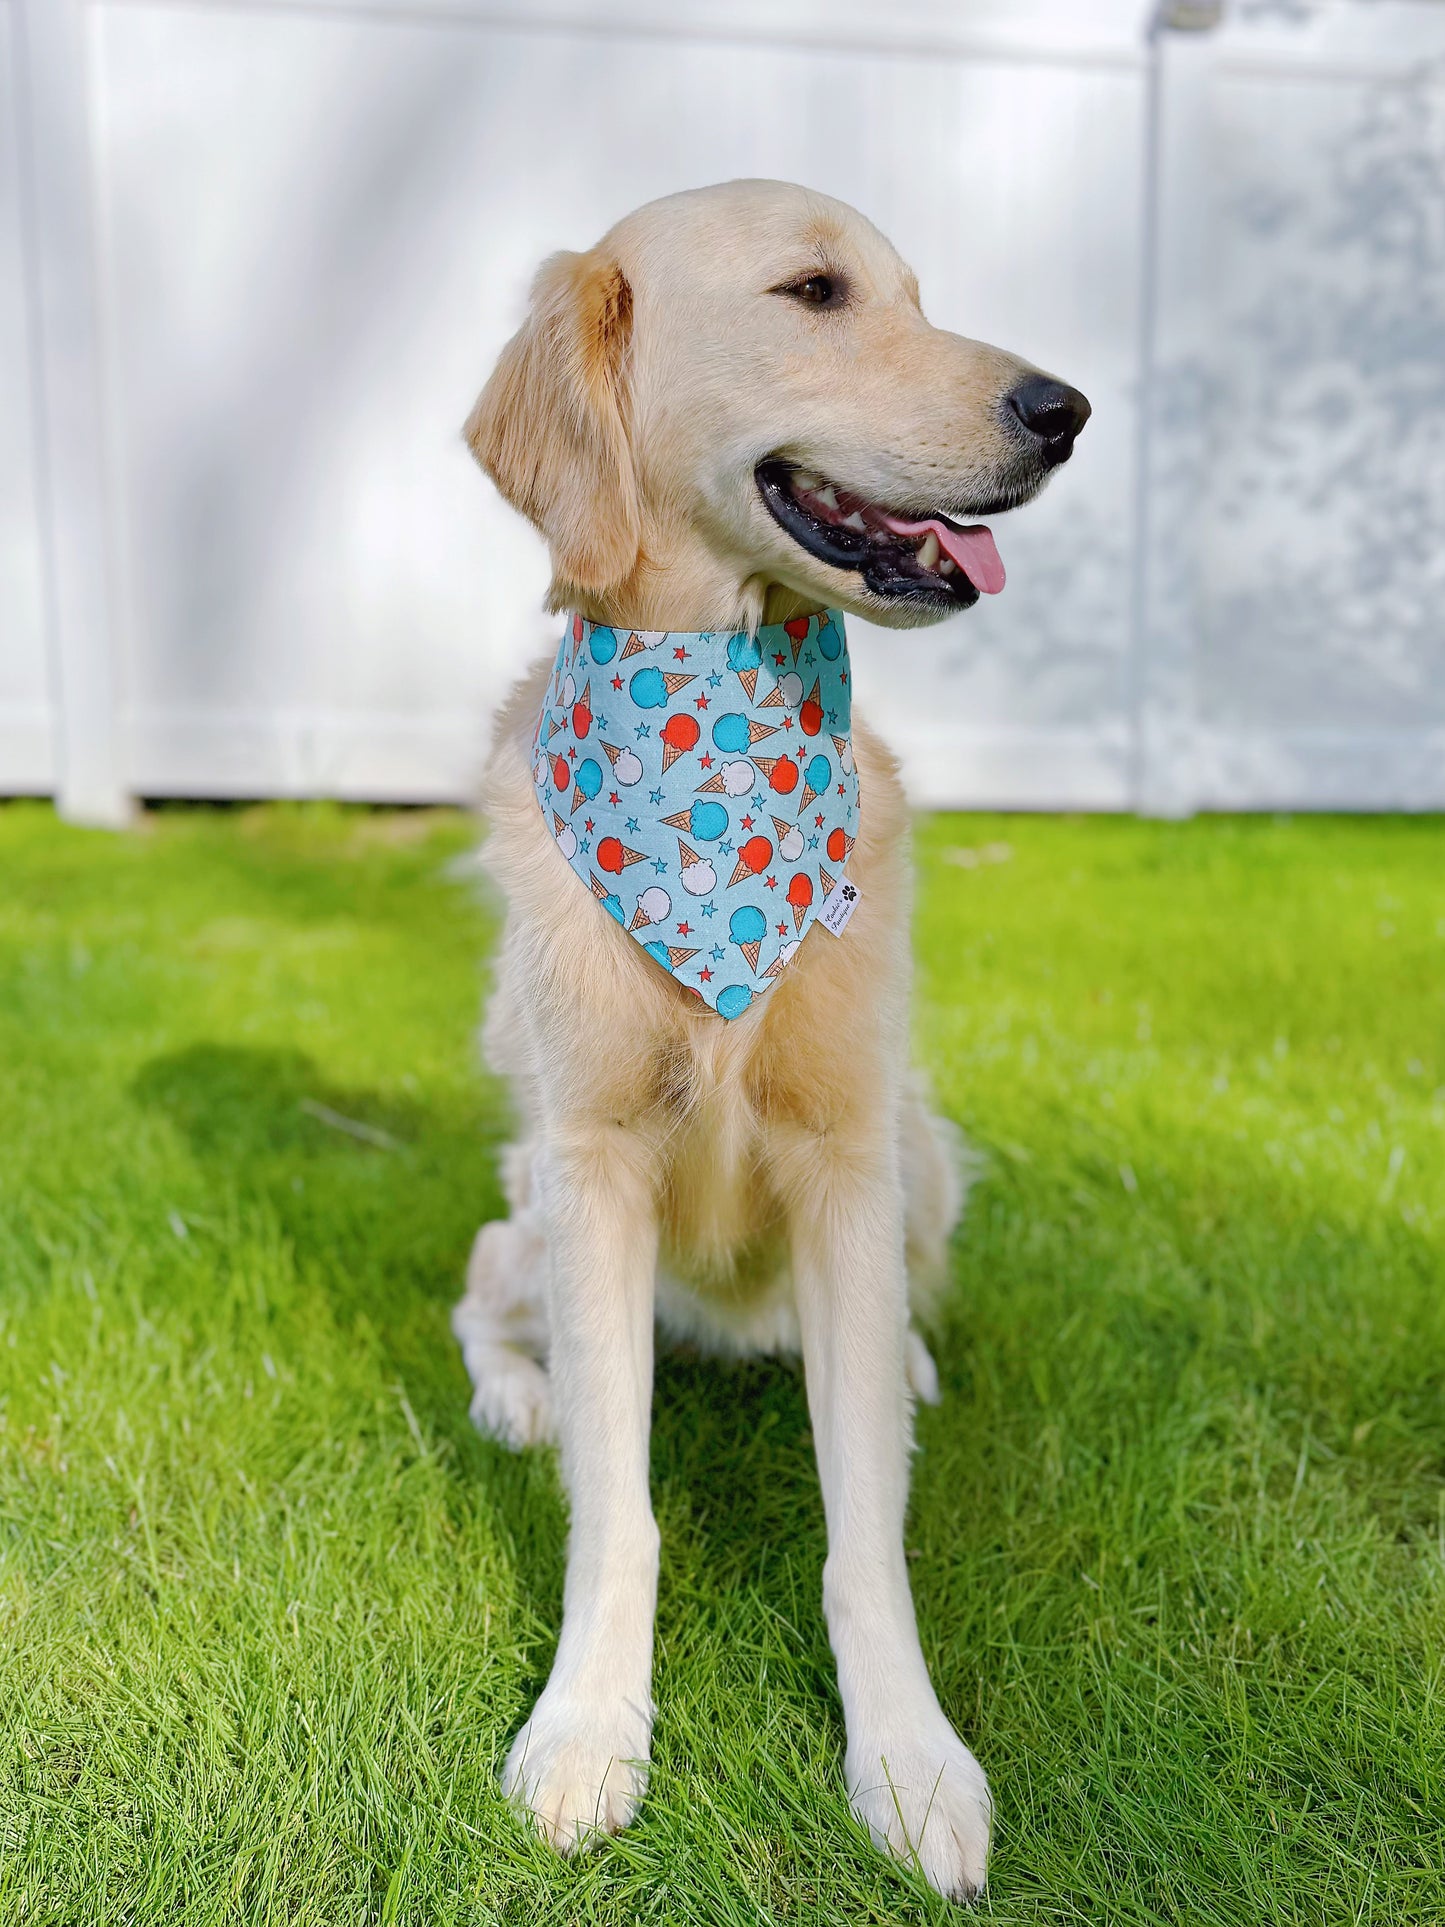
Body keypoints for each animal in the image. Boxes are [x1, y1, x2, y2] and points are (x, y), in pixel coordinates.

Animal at [452, 177, 1086, 1896]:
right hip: (531, 1202)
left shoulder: (846, 1157)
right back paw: (516, 1393)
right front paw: (587, 1729)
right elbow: (617, 1509)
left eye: (919, 298)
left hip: (923, 1155)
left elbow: (864, 1526)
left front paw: (911, 1760)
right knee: (479, 1286)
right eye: (813, 292)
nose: (1066, 409)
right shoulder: (594, 1162)